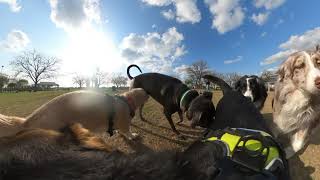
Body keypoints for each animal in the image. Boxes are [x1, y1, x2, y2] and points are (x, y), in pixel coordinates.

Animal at [0, 88, 149, 139]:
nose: (148, 93)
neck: (127, 100)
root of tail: (27, 121)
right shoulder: (125, 123)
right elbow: (128, 131)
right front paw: (133, 136)